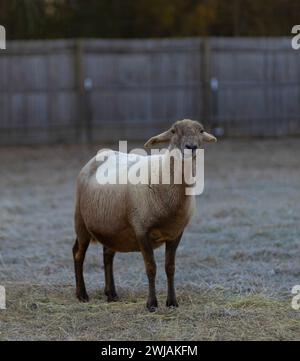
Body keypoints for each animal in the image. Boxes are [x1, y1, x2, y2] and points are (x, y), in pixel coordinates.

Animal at [73, 119, 217, 310]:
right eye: (173, 131)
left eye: (201, 131)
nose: (191, 147)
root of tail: (101, 154)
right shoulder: (141, 230)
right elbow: (151, 268)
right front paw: (152, 304)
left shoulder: (176, 233)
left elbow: (170, 267)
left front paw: (172, 302)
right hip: (80, 221)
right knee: (78, 254)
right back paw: (82, 294)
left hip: (112, 227)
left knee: (107, 255)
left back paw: (111, 294)